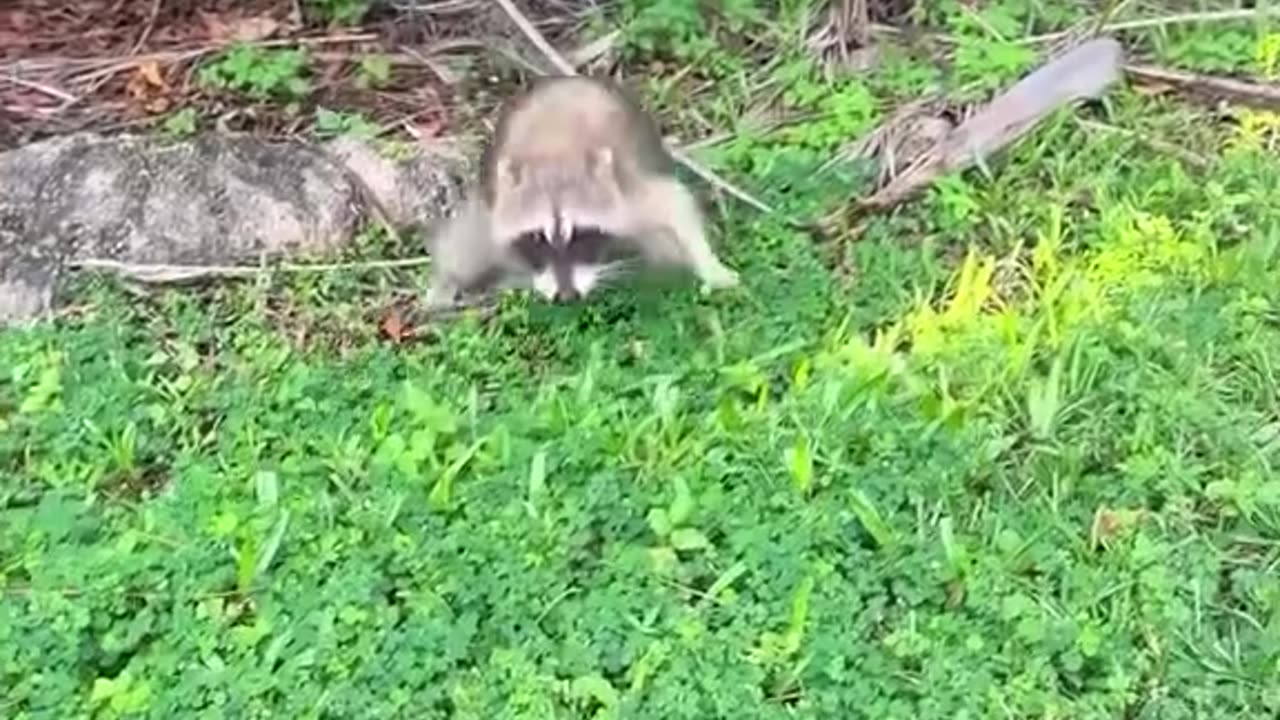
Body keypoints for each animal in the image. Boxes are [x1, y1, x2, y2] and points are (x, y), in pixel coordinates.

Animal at [423, 75, 739, 309]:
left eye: (582, 233)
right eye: (536, 237)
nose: (566, 297)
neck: (555, 155)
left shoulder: (631, 186)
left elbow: (676, 207)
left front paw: (710, 265)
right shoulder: (493, 201)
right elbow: (469, 240)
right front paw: (447, 279)